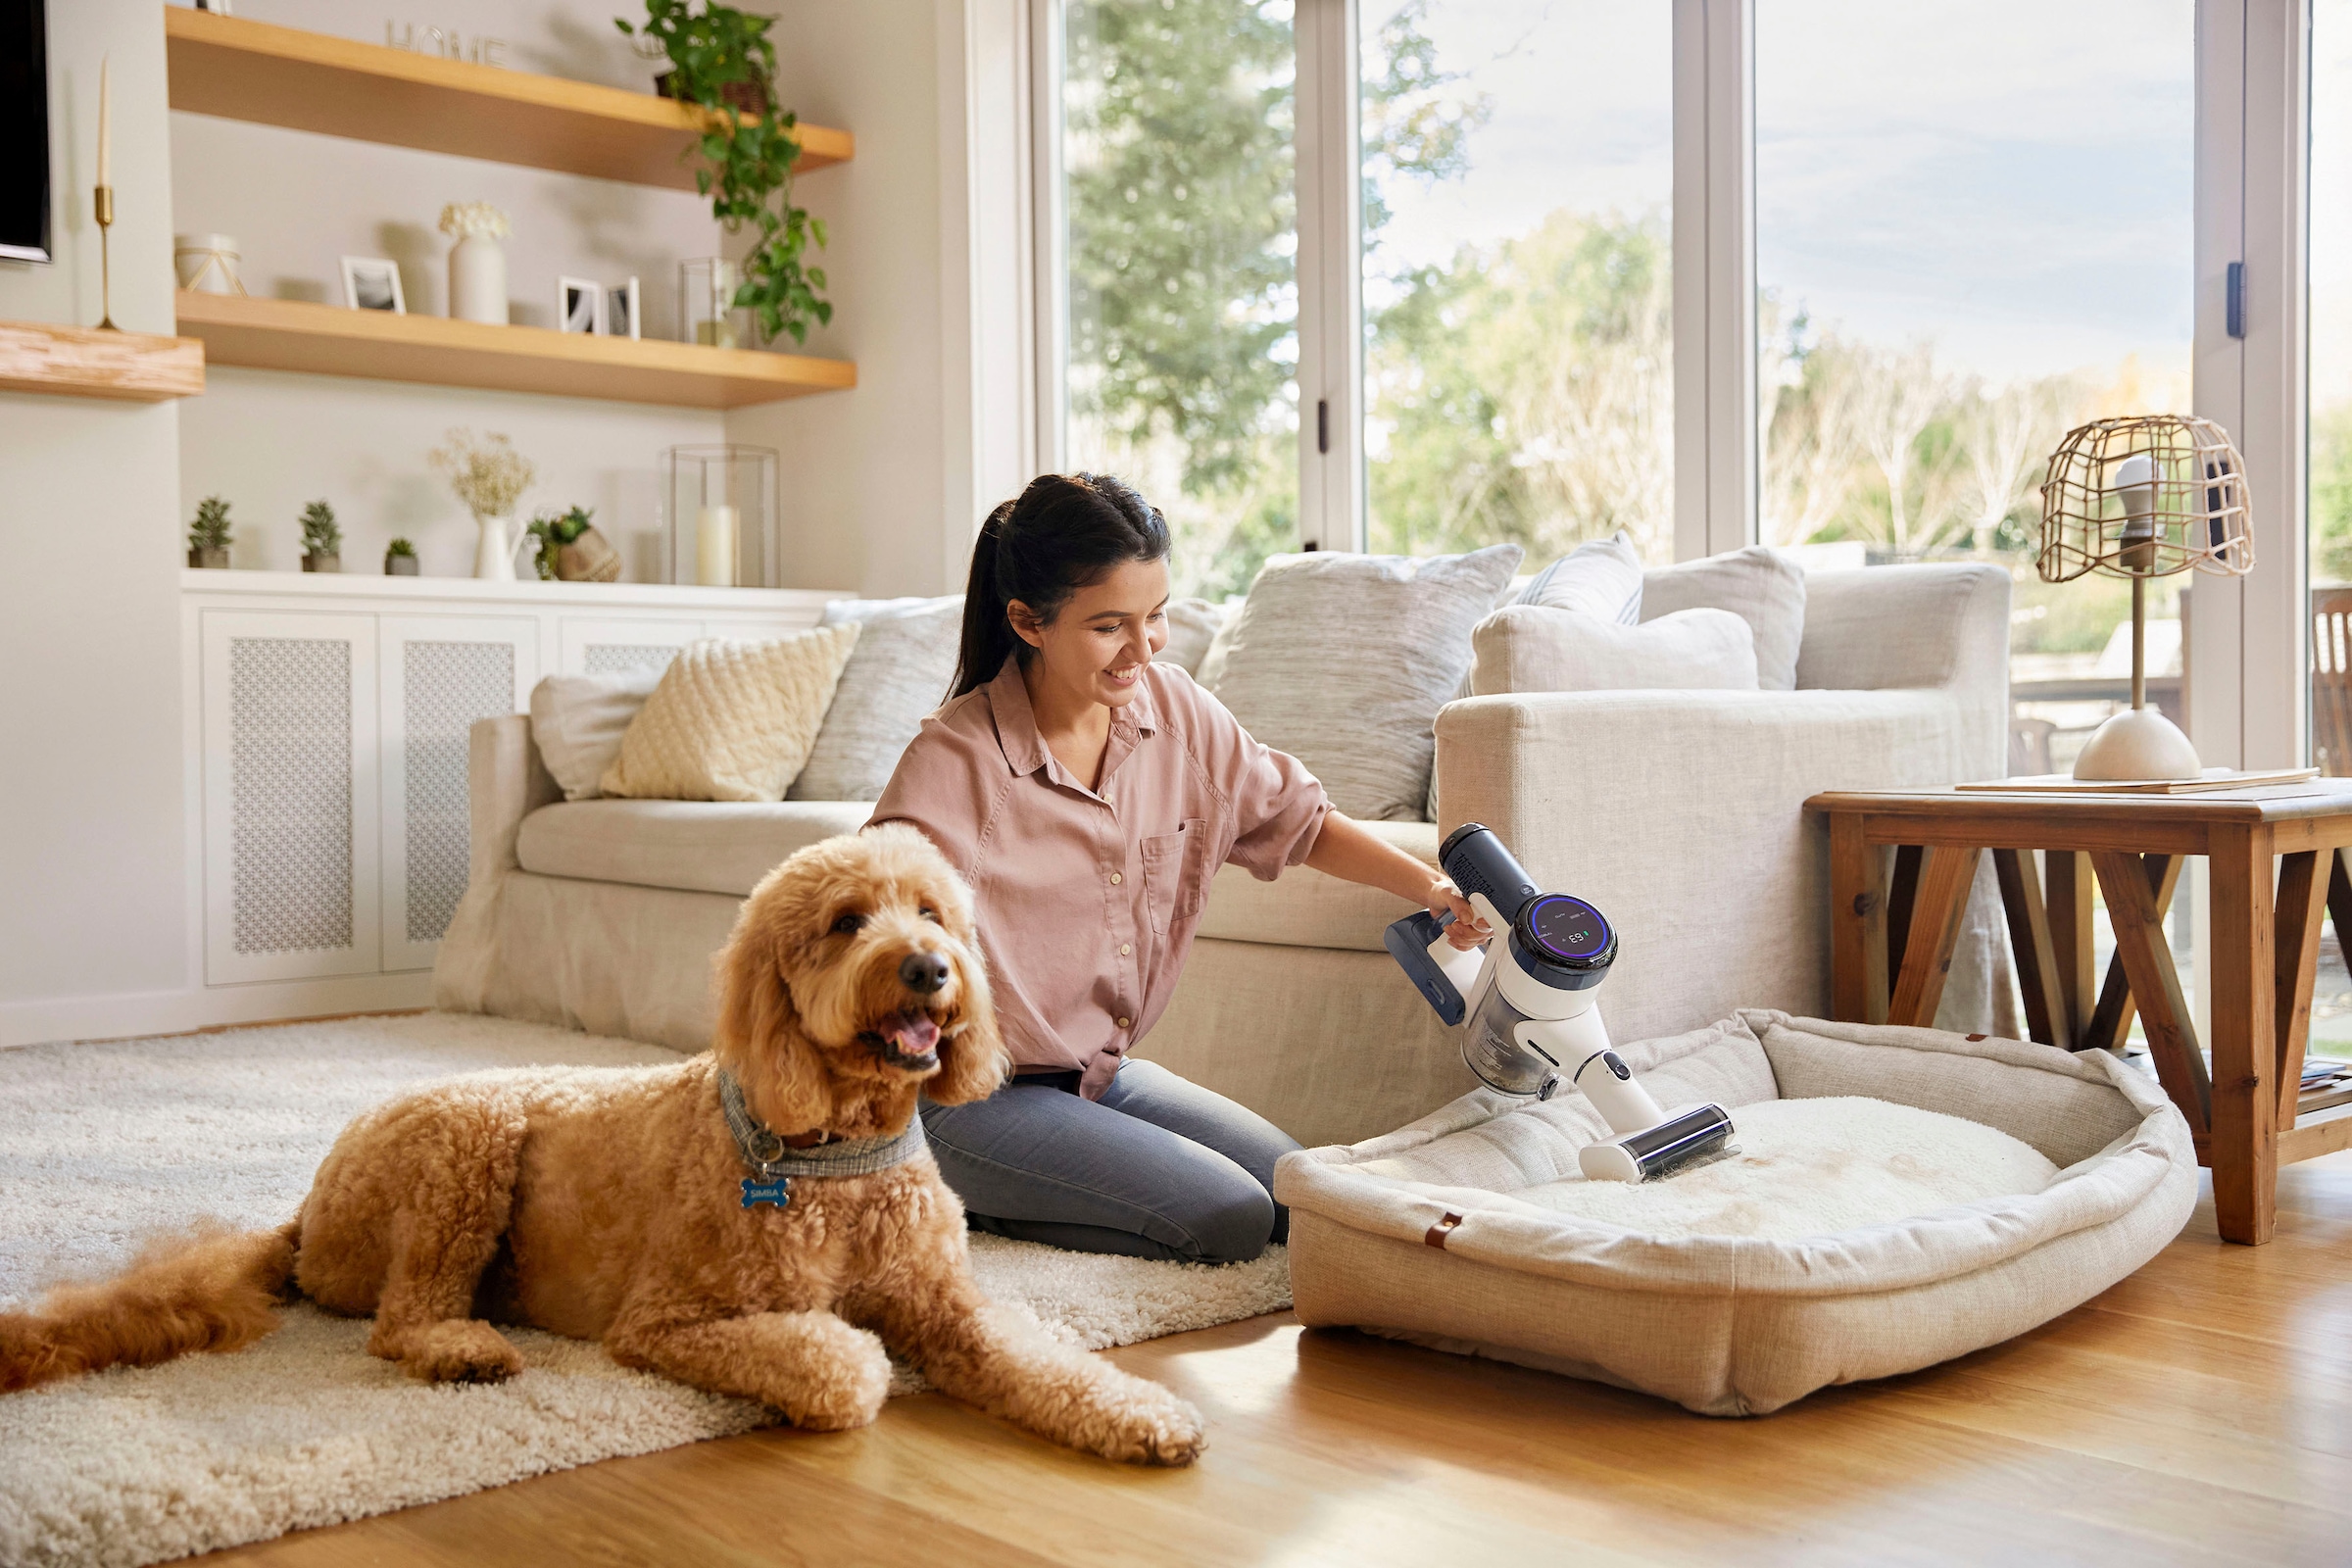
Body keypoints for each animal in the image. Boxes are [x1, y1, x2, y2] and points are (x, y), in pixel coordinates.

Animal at [0, 827, 1203, 1466]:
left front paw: (1142, 1414)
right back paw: (466, 1350)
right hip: (467, 1141)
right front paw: (851, 1359)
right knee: (398, 1322)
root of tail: (304, 1208)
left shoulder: (952, 1309)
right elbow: (842, 1360)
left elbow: (1046, 1357)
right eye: (845, 924)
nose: (927, 969)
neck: (831, 1148)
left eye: (935, 914)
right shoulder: (669, 1320)